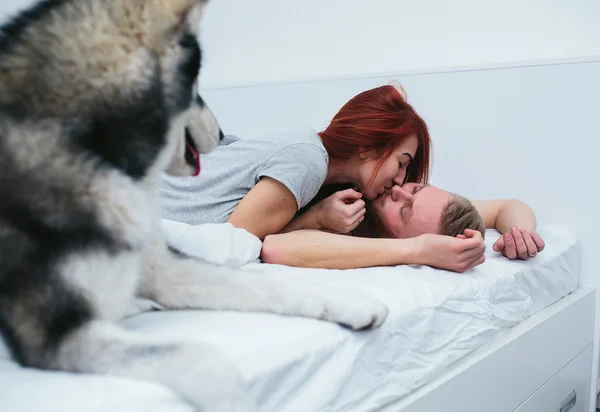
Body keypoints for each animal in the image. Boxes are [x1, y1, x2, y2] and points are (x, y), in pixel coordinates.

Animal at [0, 1, 386, 410]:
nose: (221, 133)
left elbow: (269, 283)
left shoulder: (163, 268)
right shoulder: (54, 335)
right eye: (196, 88)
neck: (98, 151)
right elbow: (203, 357)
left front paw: (352, 303)